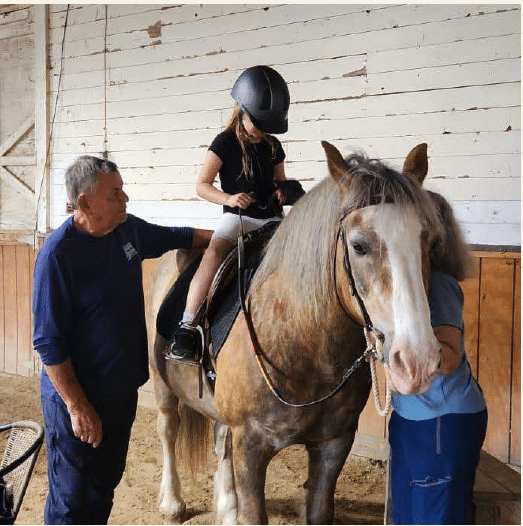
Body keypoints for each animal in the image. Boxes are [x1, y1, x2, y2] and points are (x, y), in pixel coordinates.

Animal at [148, 141, 450, 526]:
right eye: (359, 245)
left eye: (430, 243)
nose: (417, 362)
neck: (302, 345)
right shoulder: (251, 446)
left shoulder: (334, 444)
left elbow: (318, 510)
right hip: (162, 381)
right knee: (168, 429)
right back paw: (173, 502)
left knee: (220, 437)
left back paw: (227, 506)